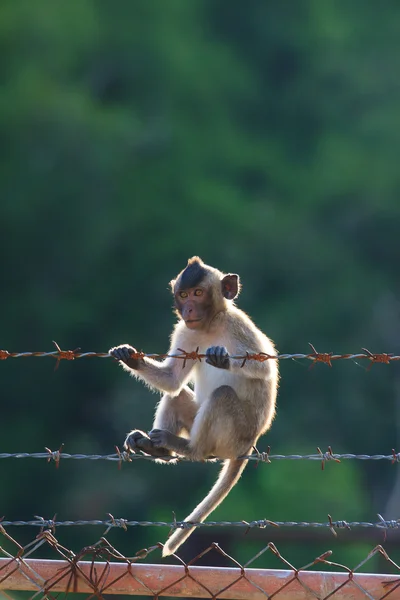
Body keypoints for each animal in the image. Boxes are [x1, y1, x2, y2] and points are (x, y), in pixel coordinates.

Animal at [109, 258, 278, 556]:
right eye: (184, 294)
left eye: (198, 294)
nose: (188, 309)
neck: (210, 325)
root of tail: (251, 443)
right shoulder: (185, 329)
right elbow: (172, 380)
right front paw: (129, 357)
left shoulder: (238, 325)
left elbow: (264, 368)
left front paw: (222, 357)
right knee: (177, 396)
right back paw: (157, 447)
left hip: (235, 435)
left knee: (222, 395)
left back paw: (189, 448)